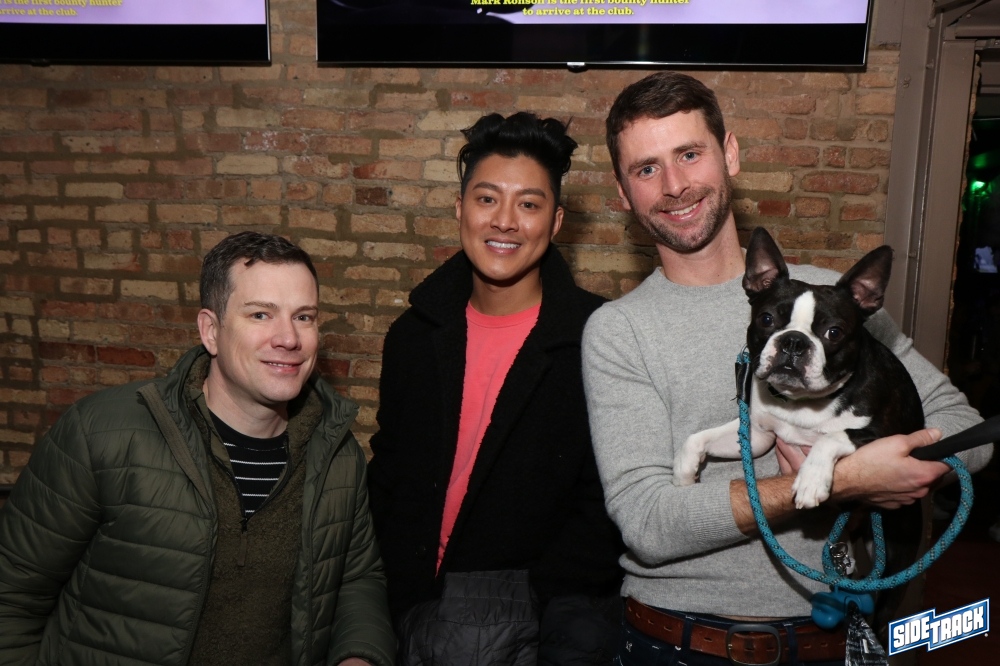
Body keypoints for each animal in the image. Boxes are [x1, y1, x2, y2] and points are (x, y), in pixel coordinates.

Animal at [673, 227, 924, 509]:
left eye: (834, 332)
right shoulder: (757, 435)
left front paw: (811, 480)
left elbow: (831, 437)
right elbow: (695, 438)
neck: (801, 402)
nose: (793, 341)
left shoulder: (887, 434)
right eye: (766, 319)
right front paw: (683, 473)